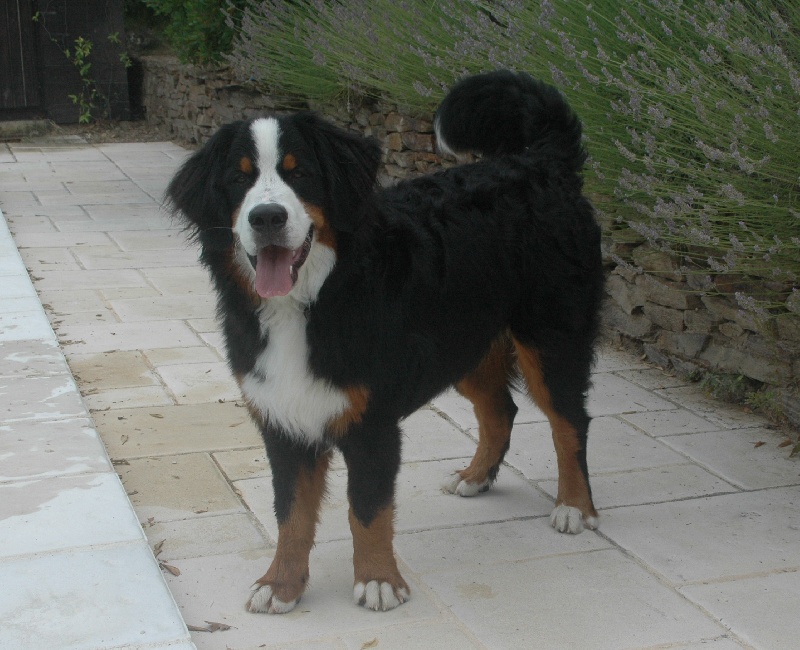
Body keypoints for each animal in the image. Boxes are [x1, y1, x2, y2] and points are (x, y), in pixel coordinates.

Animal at [167, 70, 604, 614]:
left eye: (299, 173)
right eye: (239, 178)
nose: (266, 217)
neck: (312, 300)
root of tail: (541, 163)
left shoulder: (371, 422)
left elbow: (367, 510)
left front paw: (377, 580)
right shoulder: (282, 417)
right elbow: (291, 513)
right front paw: (281, 583)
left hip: (550, 338)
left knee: (569, 422)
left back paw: (574, 507)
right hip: (463, 344)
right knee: (500, 410)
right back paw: (475, 476)